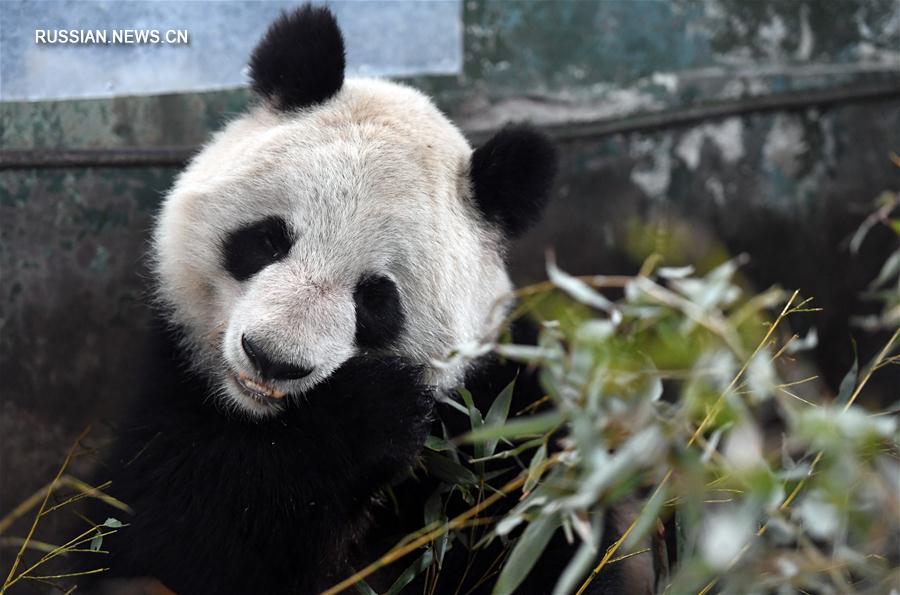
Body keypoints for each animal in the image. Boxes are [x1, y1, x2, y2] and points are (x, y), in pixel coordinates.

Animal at [91, 5, 652, 595]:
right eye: (268, 240)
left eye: (376, 298)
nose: (273, 360)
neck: (263, 419)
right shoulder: (173, 382)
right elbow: (161, 533)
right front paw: (364, 414)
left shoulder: (505, 416)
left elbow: (537, 543)